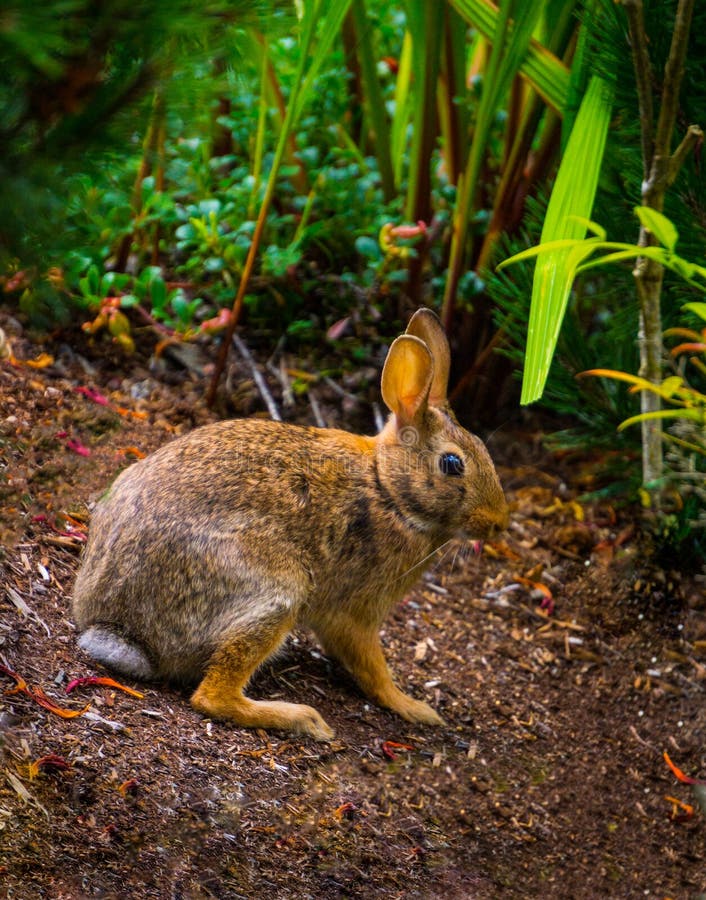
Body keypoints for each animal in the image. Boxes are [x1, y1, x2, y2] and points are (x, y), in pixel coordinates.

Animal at [73, 310, 506, 740]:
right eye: (452, 464)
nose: (498, 523)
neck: (388, 489)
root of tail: (121, 630)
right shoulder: (355, 611)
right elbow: (372, 668)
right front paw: (413, 707)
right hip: (276, 592)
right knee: (211, 697)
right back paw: (303, 718)